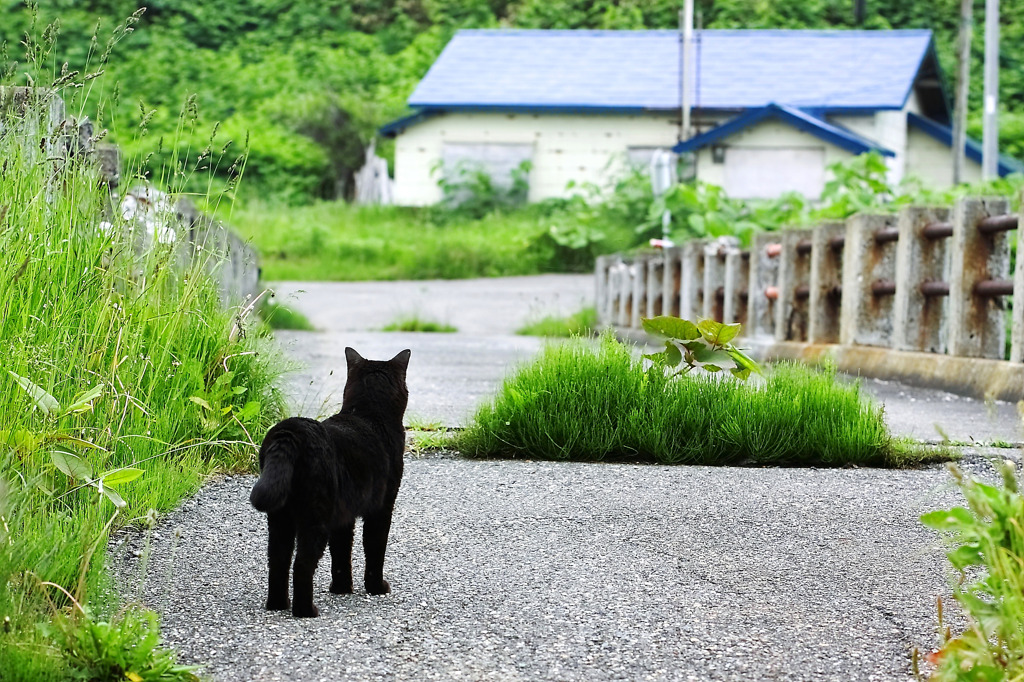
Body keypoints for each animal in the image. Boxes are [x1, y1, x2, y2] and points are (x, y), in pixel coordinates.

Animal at [247, 346, 407, 614]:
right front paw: (376, 587)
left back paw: (278, 605)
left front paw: (341, 589)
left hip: (280, 518)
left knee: (278, 561)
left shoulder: (344, 515)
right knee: (301, 564)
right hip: (314, 518)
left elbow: (341, 552)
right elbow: (375, 548)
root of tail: (290, 430)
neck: (370, 414)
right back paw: (305, 611)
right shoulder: (382, 508)